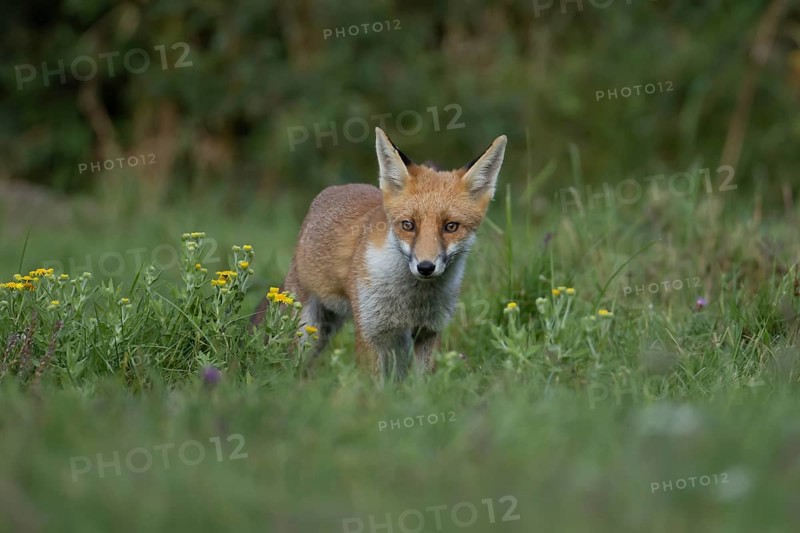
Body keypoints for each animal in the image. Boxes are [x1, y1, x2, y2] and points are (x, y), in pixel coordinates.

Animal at [258, 127, 506, 376]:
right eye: (408, 225)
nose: (425, 267)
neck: (413, 299)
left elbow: (422, 382)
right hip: (308, 329)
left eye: (451, 226)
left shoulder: (429, 331)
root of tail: (335, 189)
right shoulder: (370, 333)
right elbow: (373, 383)